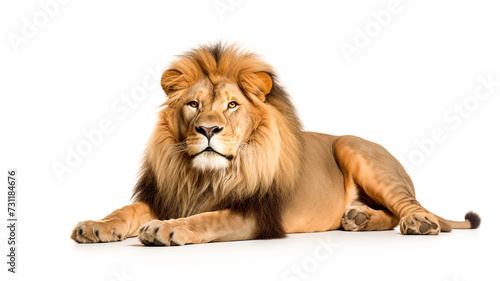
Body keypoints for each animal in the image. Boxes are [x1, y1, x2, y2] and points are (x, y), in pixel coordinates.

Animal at [71, 42, 480, 245]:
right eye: (194, 104)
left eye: (232, 105)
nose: (208, 130)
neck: (207, 176)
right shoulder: (166, 194)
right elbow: (125, 210)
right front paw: (95, 225)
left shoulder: (257, 214)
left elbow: (209, 218)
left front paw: (165, 229)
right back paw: (358, 218)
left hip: (355, 148)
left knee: (411, 209)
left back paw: (419, 224)